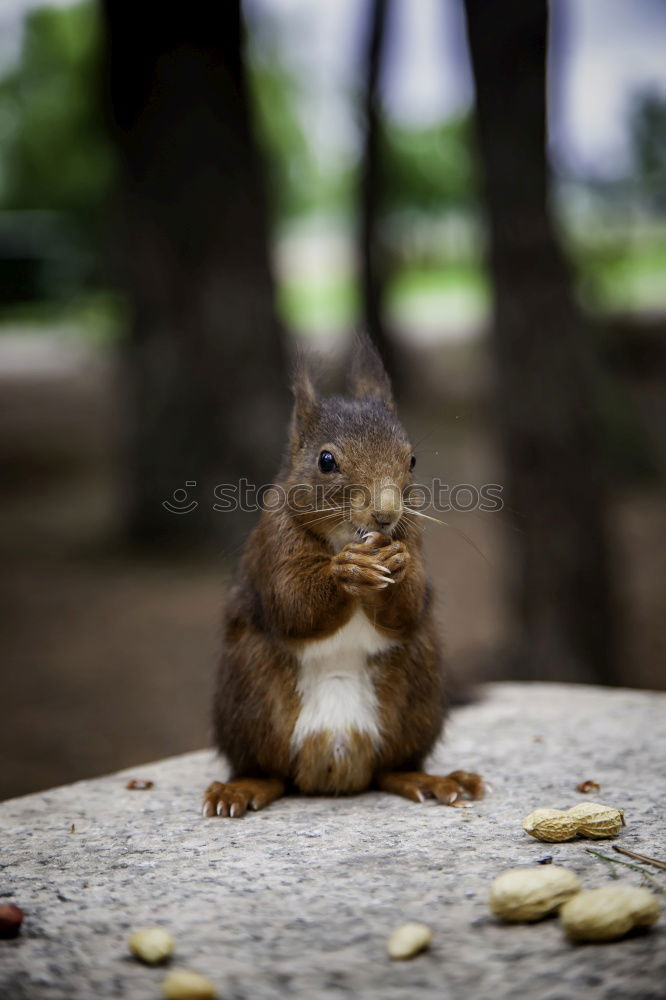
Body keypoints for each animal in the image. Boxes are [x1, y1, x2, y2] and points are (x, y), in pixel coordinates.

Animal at [200, 332, 480, 816]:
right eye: (326, 461)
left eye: (412, 460)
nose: (386, 514)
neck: (349, 537)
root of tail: (336, 760)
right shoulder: (274, 545)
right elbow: (292, 604)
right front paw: (345, 572)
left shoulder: (415, 537)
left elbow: (407, 607)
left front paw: (399, 566)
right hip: (249, 695)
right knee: (270, 771)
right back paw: (242, 788)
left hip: (417, 696)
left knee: (391, 767)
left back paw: (427, 779)